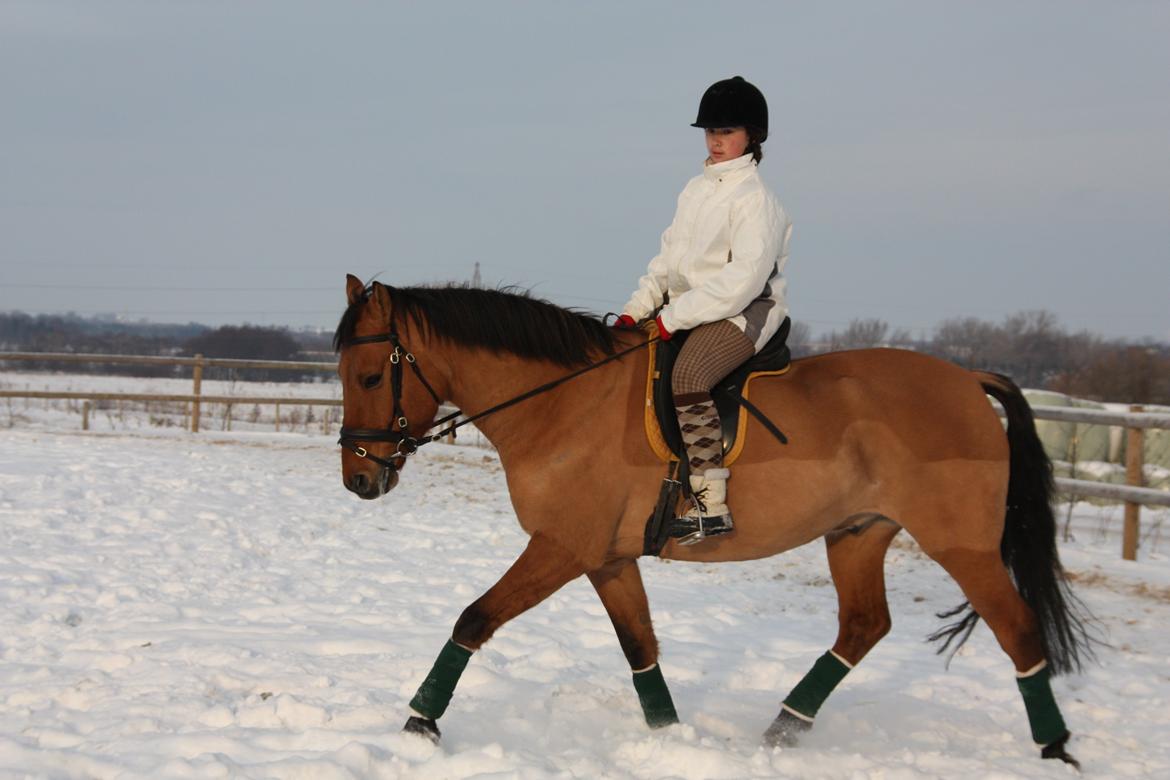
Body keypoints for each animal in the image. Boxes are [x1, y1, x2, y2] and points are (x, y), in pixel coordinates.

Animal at [334, 277, 1090, 767]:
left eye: (370, 376)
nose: (359, 480)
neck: (563, 403)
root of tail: (967, 380)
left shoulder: (561, 548)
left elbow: (474, 619)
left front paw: (420, 722)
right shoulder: (607, 559)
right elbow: (640, 648)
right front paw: (671, 740)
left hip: (961, 544)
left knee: (1018, 630)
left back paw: (1055, 750)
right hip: (857, 532)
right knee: (864, 626)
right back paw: (783, 729)